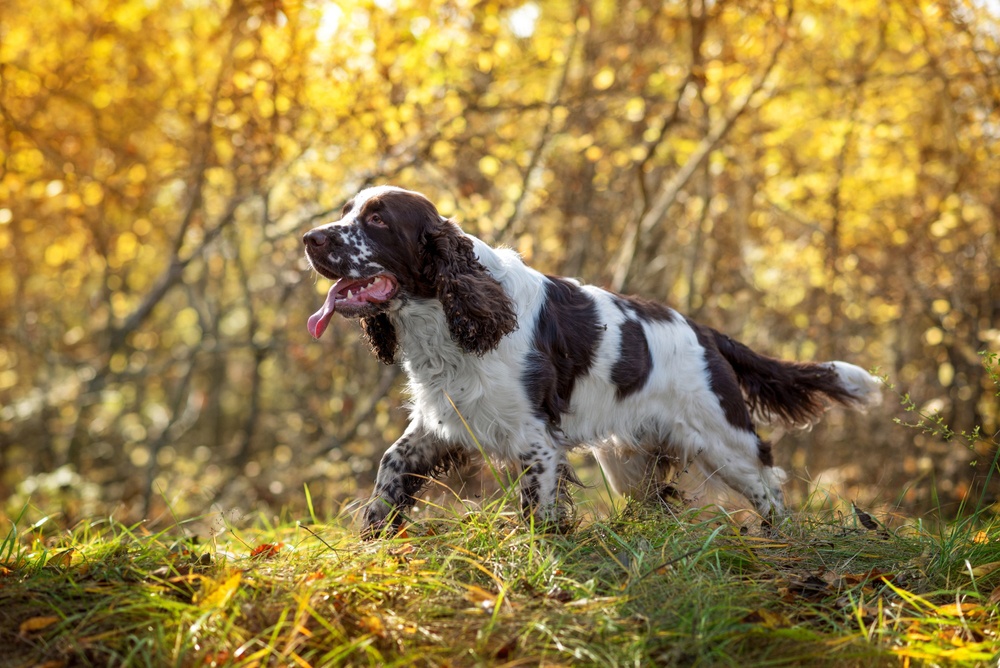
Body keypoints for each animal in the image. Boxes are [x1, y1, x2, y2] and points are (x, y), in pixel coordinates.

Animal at [300, 185, 880, 536]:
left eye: (377, 220)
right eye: (348, 211)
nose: (308, 238)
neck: (448, 315)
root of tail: (705, 333)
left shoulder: (536, 440)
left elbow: (537, 507)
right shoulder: (441, 422)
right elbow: (390, 468)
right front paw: (372, 540)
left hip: (723, 440)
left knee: (768, 487)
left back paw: (777, 538)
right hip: (629, 460)